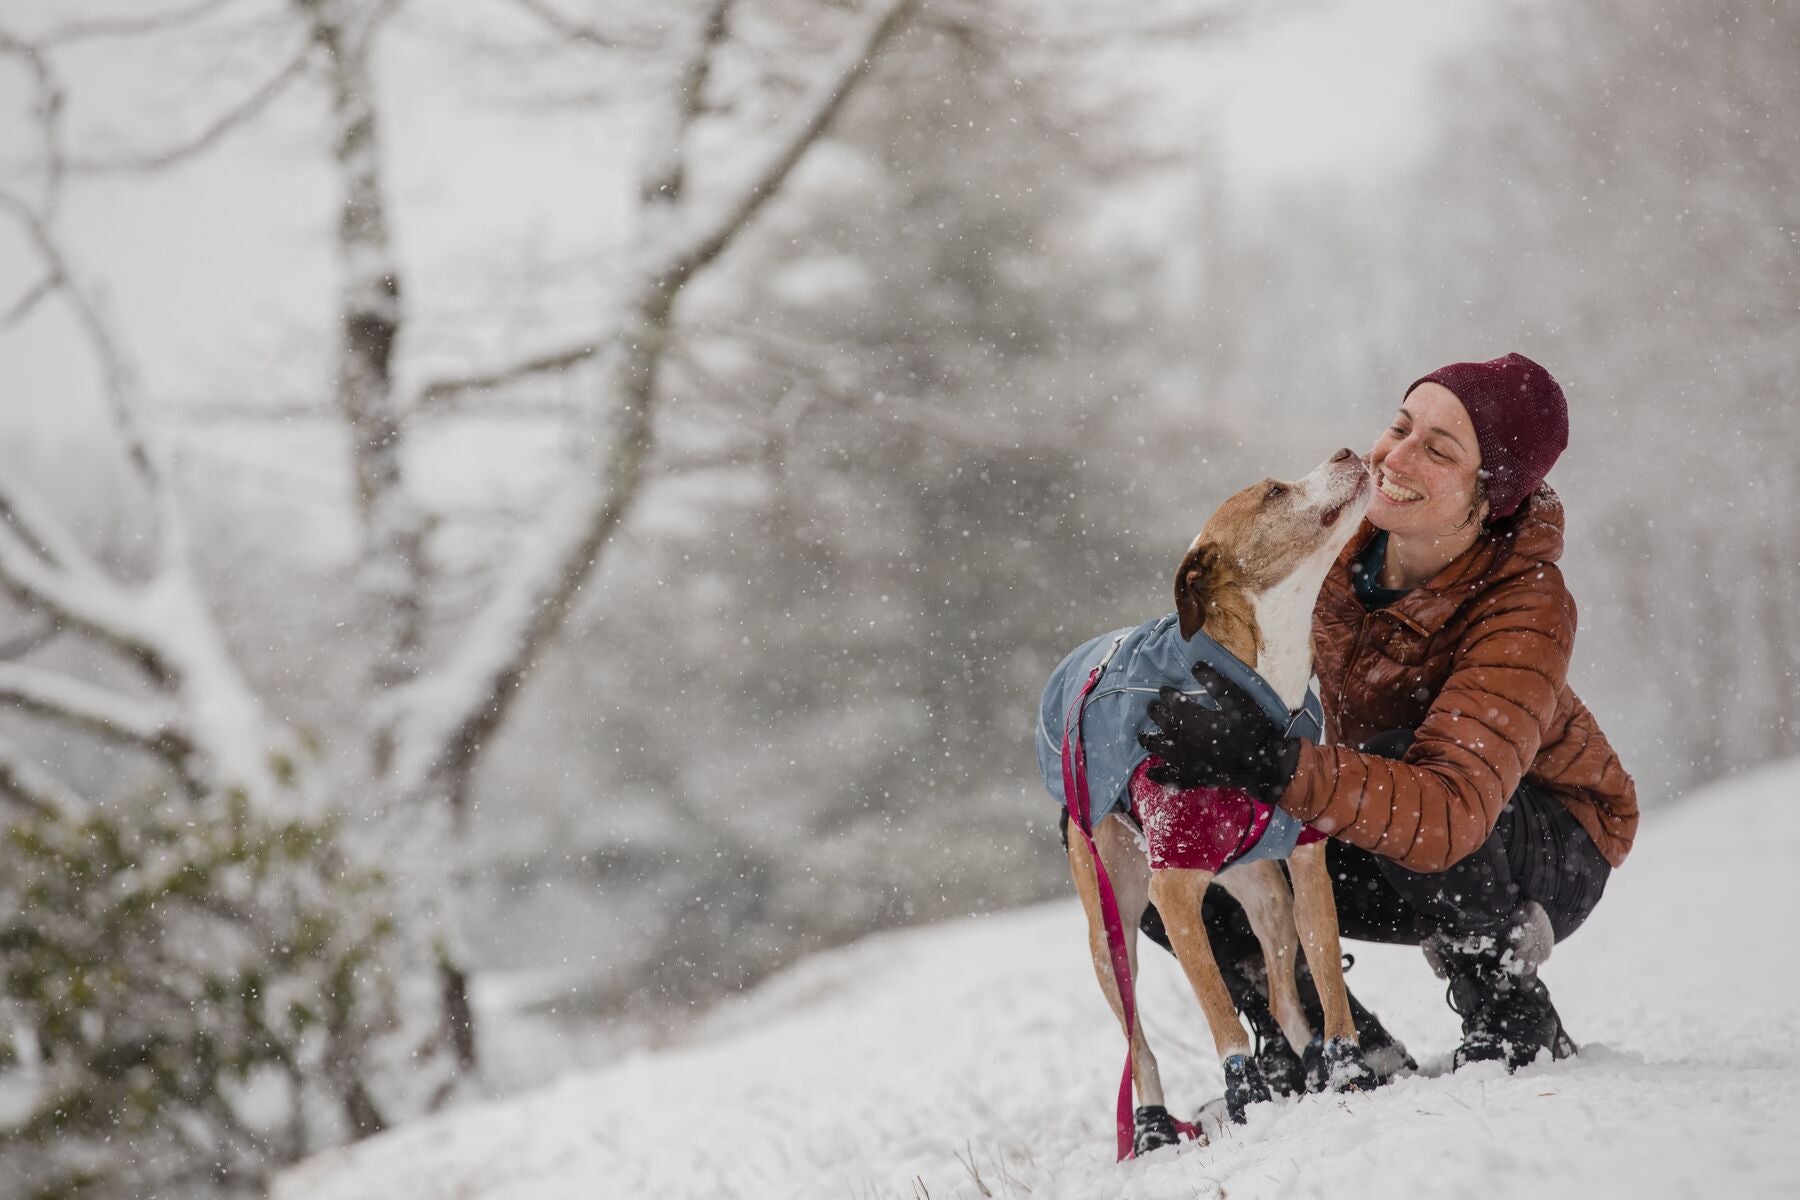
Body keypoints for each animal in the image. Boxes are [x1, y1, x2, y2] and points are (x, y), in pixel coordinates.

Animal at [1058, 446, 1368, 1151]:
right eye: (1274, 492)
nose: (1345, 451)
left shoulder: (1306, 863)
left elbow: (1327, 983)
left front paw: (1349, 1073)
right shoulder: (1174, 892)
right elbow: (1222, 1018)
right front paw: (1245, 1098)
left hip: (1266, 894)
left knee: (1281, 997)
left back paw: (1306, 1073)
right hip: (1111, 927)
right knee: (1139, 1042)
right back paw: (1150, 1126)